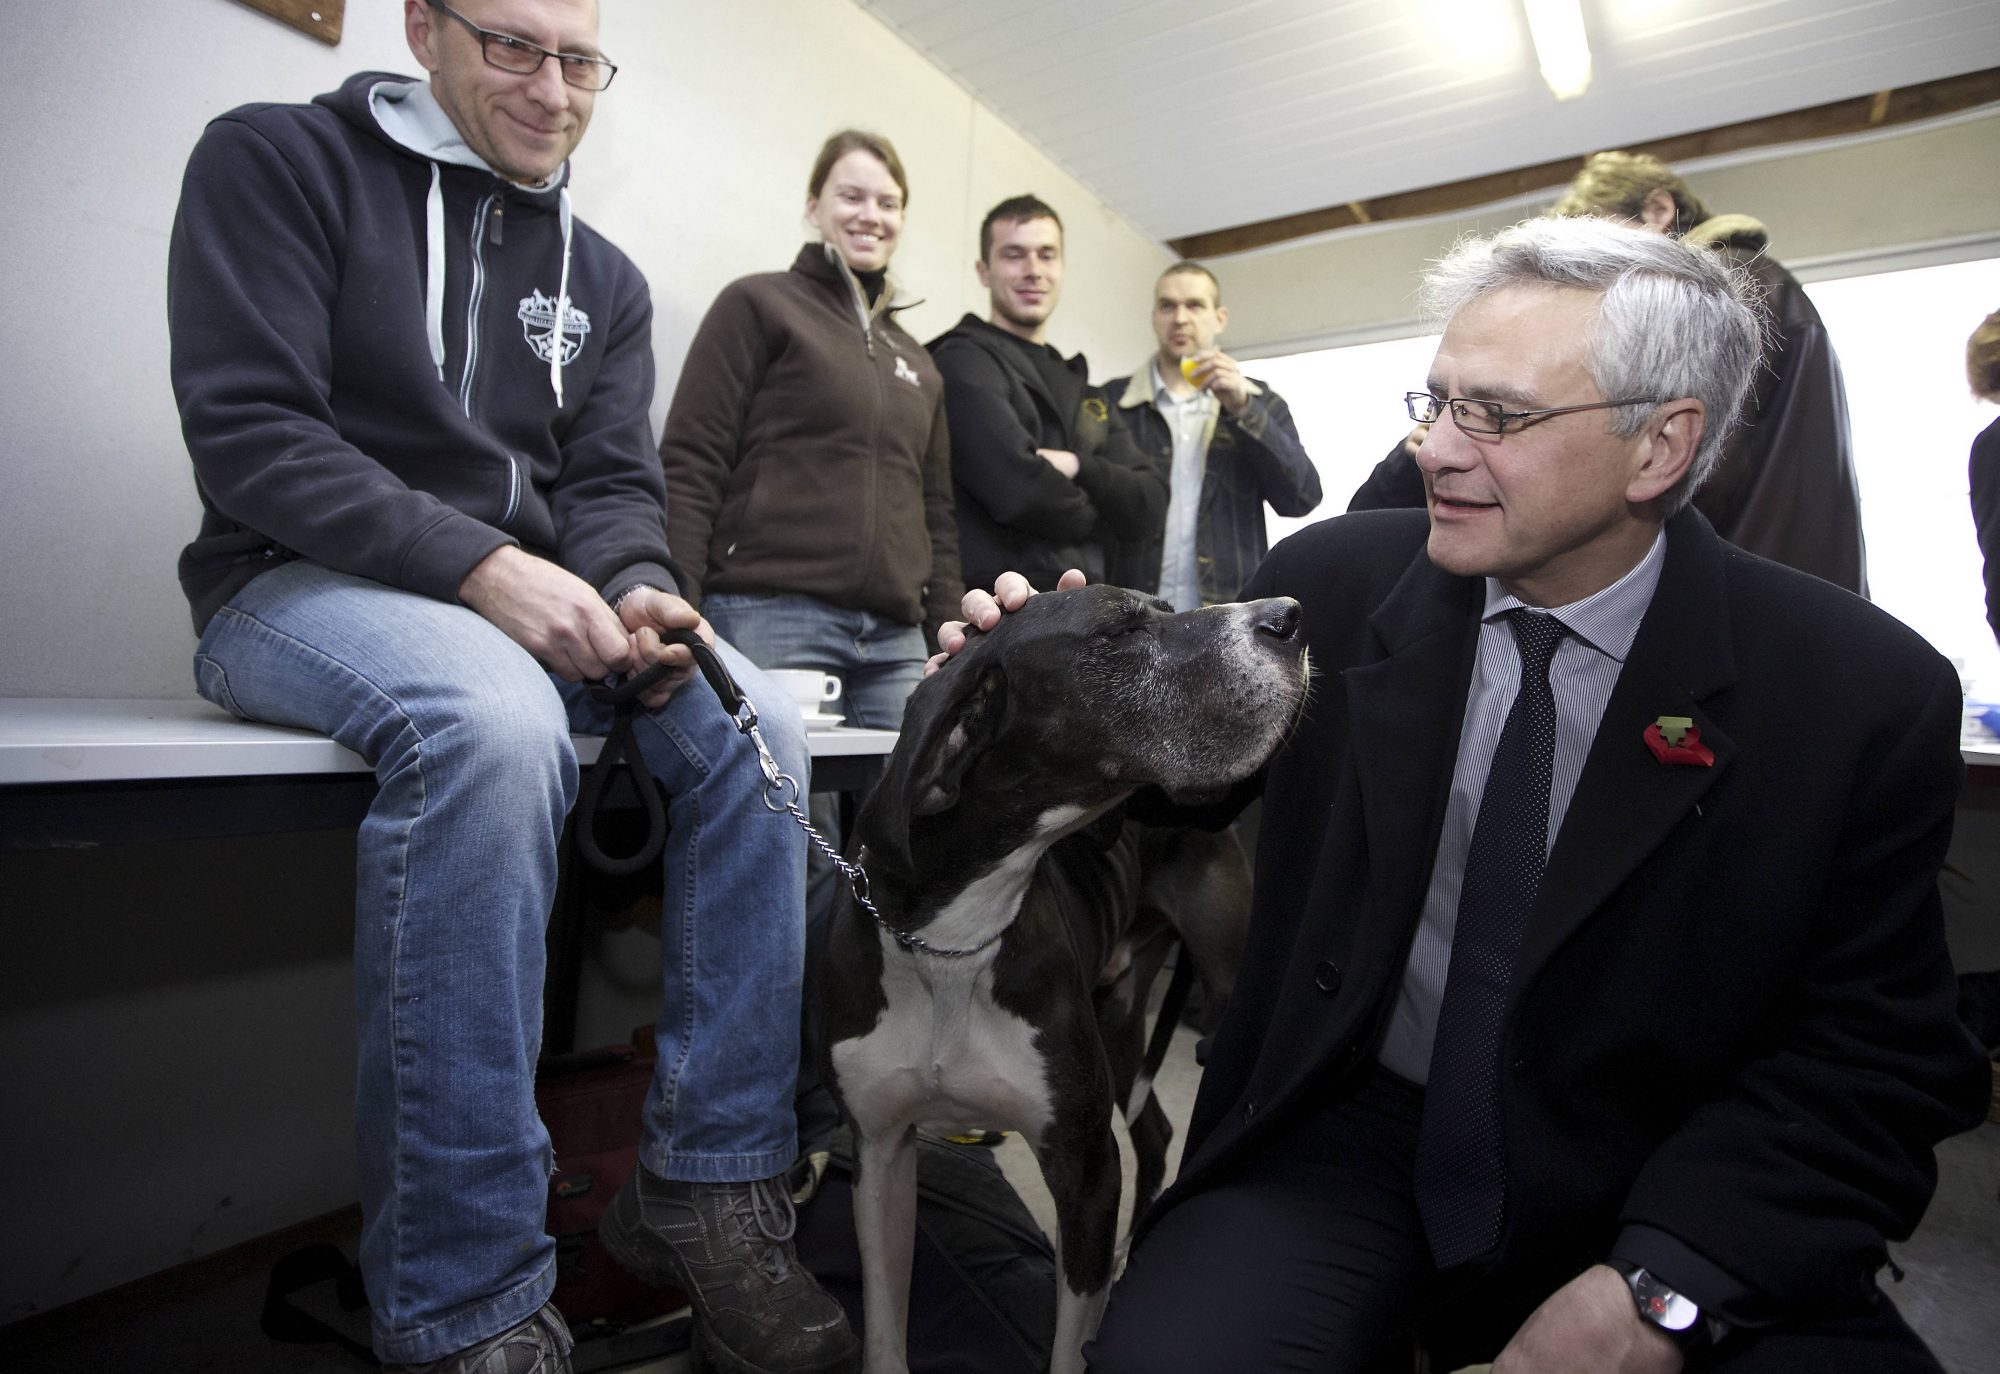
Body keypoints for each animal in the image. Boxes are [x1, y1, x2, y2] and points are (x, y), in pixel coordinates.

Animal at [820, 588, 1304, 1374]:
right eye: (1121, 632)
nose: (1290, 615)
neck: (951, 942)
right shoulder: (880, 1151)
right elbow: (886, 1329)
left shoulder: (1085, 1169)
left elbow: (1069, 1344)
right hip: (1119, 1019)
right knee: (1156, 1129)